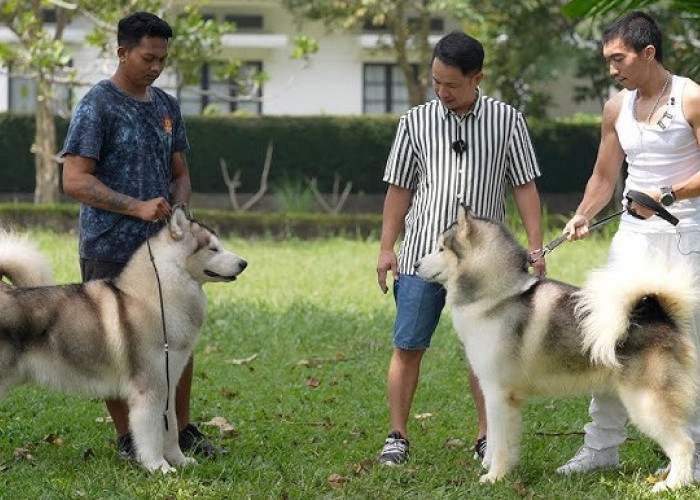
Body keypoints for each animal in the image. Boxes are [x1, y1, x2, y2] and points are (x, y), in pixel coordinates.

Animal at [0, 206, 247, 472]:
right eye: (213, 249)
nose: (244, 263)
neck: (156, 298)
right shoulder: (149, 389)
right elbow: (151, 435)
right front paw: (159, 467)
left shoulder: (168, 384)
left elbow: (170, 430)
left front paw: (180, 461)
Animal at [418, 204, 696, 492]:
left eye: (440, 248)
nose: (415, 265)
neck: (499, 297)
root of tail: (660, 315)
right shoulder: (491, 390)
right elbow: (494, 439)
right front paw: (491, 467)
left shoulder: (500, 393)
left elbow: (502, 443)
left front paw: (495, 477)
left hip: (647, 403)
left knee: (684, 444)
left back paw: (673, 484)